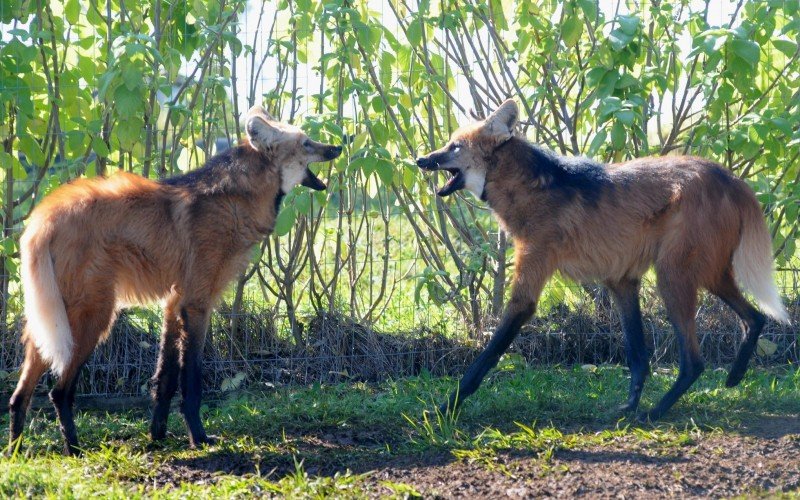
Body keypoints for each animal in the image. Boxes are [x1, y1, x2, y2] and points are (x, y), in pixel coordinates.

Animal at [9, 105, 342, 454]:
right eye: (306, 143)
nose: (338, 147)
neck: (235, 199)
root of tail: (43, 216)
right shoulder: (197, 302)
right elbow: (191, 379)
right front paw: (199, 437)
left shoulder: (174, 302)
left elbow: (165, 379)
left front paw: (157, 434)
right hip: (93, 313)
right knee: (58, 390)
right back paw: (74, 448)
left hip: (53, 315)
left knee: (20, 393)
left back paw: (15, 450)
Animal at [416, 99, 792, 420]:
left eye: (454, 146)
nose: (420, 160)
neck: (531, 189)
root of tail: (730, 177)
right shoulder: (620, 281)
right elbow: (638, 356)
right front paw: (627, 406)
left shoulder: (534, 274)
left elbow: (488, 354)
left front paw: (444, 409)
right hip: (708, 271)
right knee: (756, 317)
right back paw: (734, 377)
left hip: (674, 275)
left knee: (695, 361)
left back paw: (656, 412)